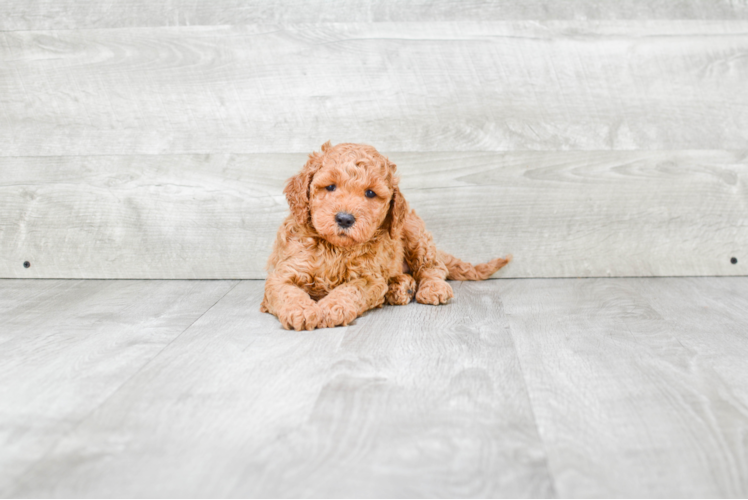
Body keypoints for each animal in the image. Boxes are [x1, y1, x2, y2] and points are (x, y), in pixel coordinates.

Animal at [260, 142, 512, 328]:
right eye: (330, 187)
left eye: (370, 193)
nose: (344, 219)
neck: (336, 248)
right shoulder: (285, 270)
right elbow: (286, 291)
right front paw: (301, 311)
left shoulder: (369, 278)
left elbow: (350, 289)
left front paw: (332, 308)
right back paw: (400, 287)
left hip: (414, 233)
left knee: (433, 267)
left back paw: (429, 288)